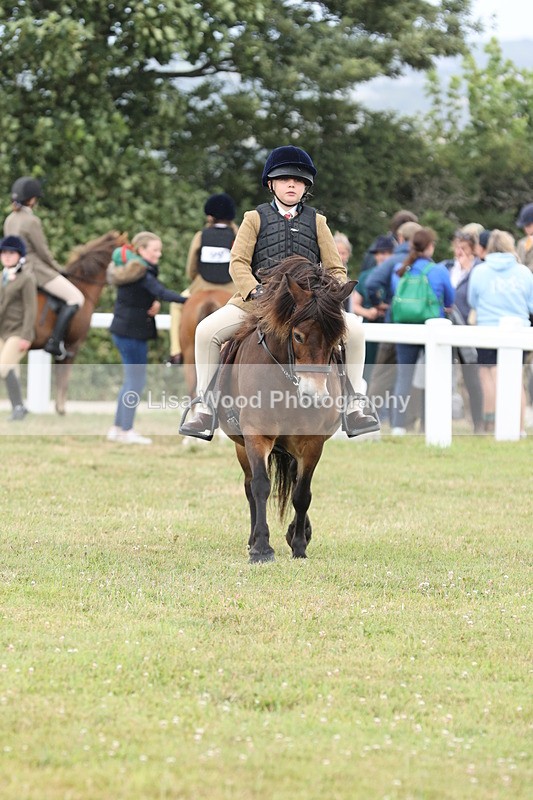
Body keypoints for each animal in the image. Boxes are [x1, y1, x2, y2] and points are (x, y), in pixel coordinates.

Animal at [218, 256, 355, 563]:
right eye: (298, 336)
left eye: (335, 341)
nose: (314, 396)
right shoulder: (256, 435)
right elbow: (260, 486)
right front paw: (261, 548)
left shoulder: (312, 443)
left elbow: (302, 494)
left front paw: (300, 545)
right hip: (241, 446)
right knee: (249, 485)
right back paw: (253, 539)